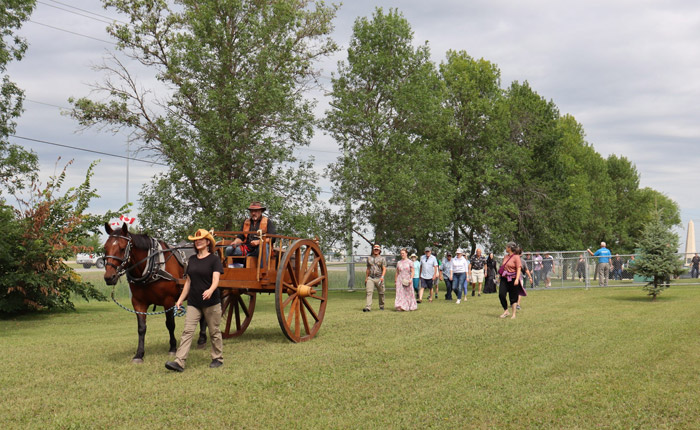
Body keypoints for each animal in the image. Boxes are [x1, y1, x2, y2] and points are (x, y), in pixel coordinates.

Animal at [102, 222, 208, 362]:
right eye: (105, 247)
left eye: (122, 248)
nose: (109, 277)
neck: (152, 266)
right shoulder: (138, 302)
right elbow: (141, 328)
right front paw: (139, 354)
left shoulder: (168, 300)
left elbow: (170, 324)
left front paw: (173, 348)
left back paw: (202, 339)